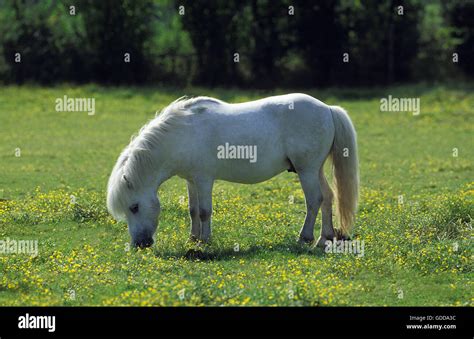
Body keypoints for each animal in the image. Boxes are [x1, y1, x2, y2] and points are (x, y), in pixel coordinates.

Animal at [106, 94, 360, 248]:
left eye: (134, 207)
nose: (140, 244)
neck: (182, 134)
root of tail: (327, 108)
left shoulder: (204, 179)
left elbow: (204, 211)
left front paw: (204, 241)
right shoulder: (191, 181)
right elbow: (192, 210)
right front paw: (193, 238)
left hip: (306, 170)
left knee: (314, 200)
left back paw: (305, 238)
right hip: (314, 170)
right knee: (327, 197)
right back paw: (324, 239)